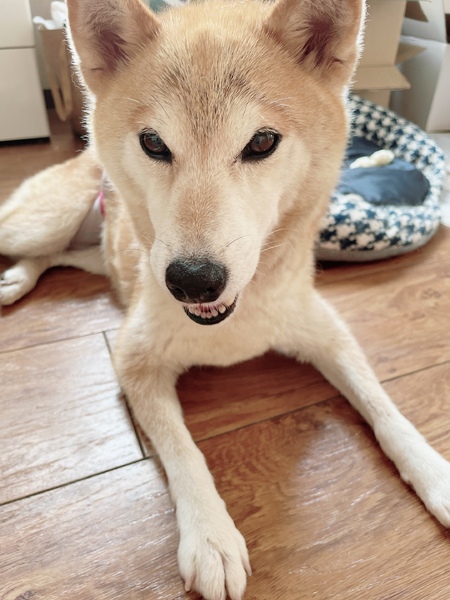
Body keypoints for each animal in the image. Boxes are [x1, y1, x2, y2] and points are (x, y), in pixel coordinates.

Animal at [2, 0, 450, 598]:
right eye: (153, 143)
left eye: (261, 143)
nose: (192, 281)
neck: (230, 323)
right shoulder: (134, 361)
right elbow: (184, 449)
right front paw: (211, 536)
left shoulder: (327, 332)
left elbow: (384, 407)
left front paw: (434, 472)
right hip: (39, 224)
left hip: (84, 252)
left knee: (51, 259)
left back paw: (17, 280)